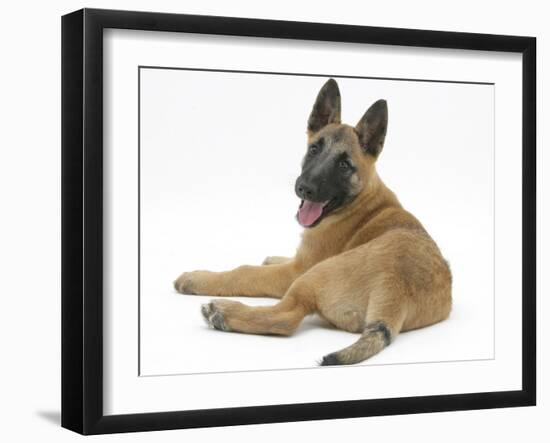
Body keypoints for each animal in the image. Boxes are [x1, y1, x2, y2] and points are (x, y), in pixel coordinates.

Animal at [176, 78, 452, 366]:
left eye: (344, 165)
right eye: (314, 149)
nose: (304, 188)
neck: (359, 202)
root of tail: (396, 287)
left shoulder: (296, 271)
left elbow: (244, 272)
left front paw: (196, 279)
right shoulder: (302, 260)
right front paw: (272, 257)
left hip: (310, 277)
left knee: (285, 318)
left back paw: (222, 312)